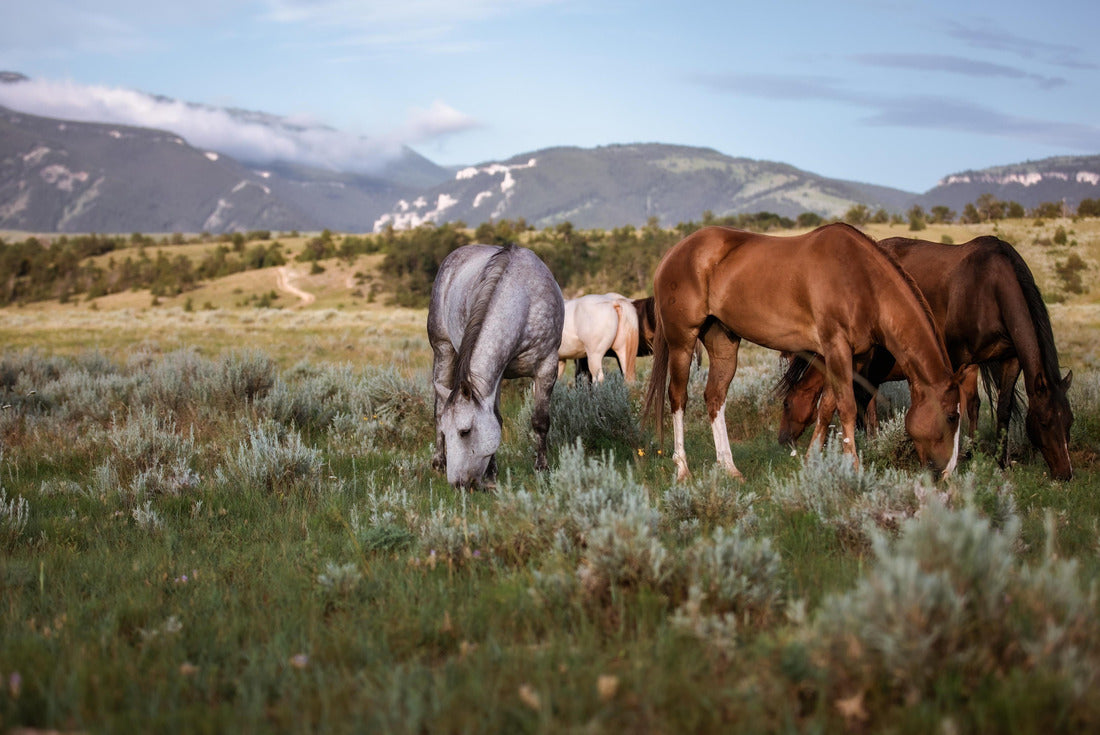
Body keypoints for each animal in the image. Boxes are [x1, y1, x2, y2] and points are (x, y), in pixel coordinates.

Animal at [428, 243, 565, 488]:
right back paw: (438, 462)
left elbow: (540, 420)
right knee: (438, 407)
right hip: (442, 349)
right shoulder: (495, 377)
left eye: (465, 431)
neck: (525, 302)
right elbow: (497, 420)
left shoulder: (547, 367)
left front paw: (542, 468)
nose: (457, 484)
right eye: (448, 430)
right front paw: (492, 472)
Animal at [643, 224, 962, 481]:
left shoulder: (851, 356)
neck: (860, 279)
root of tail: (673, 253)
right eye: (951, 417)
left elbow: (827, 407)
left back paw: (729, 468)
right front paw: (854, 469)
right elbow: (846, 407)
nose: (947, 473)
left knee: (715, 398)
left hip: (723, 341)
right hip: (682, 341)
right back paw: (683, 469)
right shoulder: (836, 348)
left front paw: (812, 461)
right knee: (678, 398)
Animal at [775, 235, 1073, 480]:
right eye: (1045, 423)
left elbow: (1003, 409)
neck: (989, 286)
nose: (1065, 474)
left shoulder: (1011, 358)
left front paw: (1001, 461)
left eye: (1069, 421)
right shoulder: (955, 358)